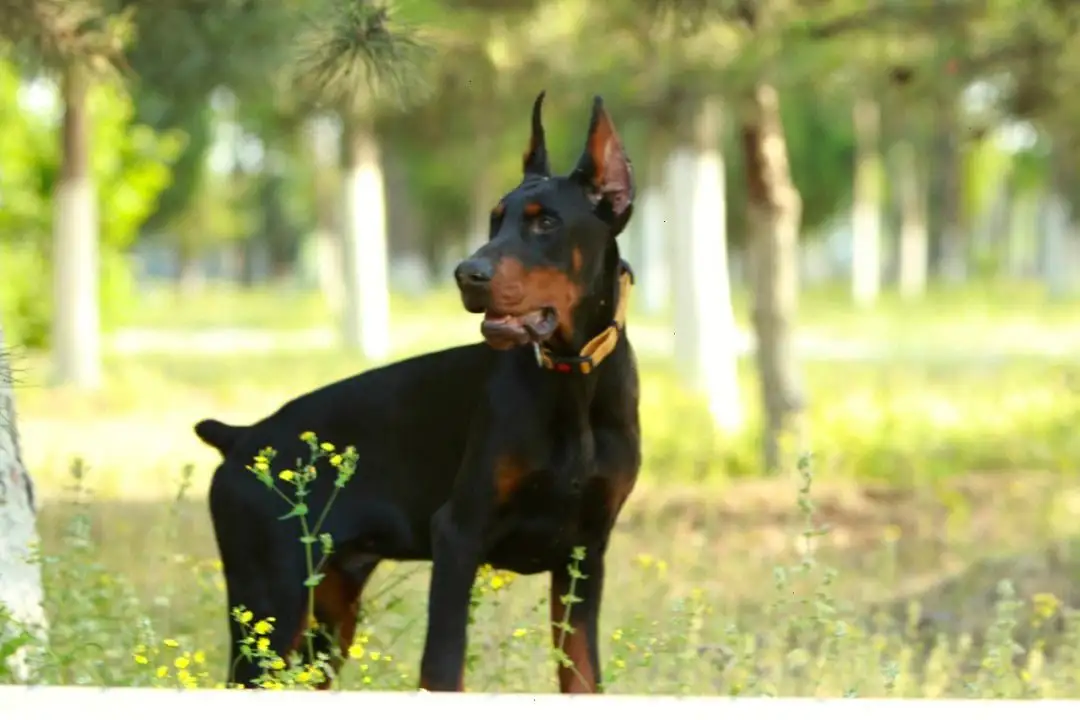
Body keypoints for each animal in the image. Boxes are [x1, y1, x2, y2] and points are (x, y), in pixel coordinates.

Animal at [192, 91, 639, 690]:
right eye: (494, 221)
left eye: (545, 223)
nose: (467, 274)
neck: (574, 384)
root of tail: (240, 438)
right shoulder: (458, 536)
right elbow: (443, 667)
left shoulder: (585, 555)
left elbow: (583, 676)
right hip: (269, 604)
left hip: (326, 615)